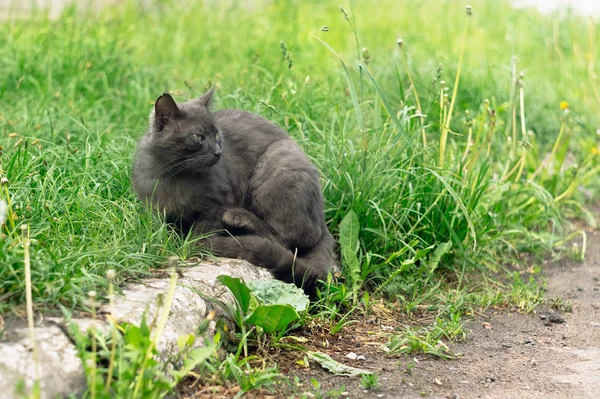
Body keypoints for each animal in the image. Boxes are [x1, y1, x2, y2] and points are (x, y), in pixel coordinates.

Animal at [132, 89, 338, 298]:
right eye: (198, 136)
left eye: (217, 134)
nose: (218, 152)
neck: (175, 176)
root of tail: (323, 220)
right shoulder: (162, 211)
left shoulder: (218, 204)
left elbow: (202, 228)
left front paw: (193, 241)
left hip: (276, 166)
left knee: (289, 238)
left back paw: (239, 220)